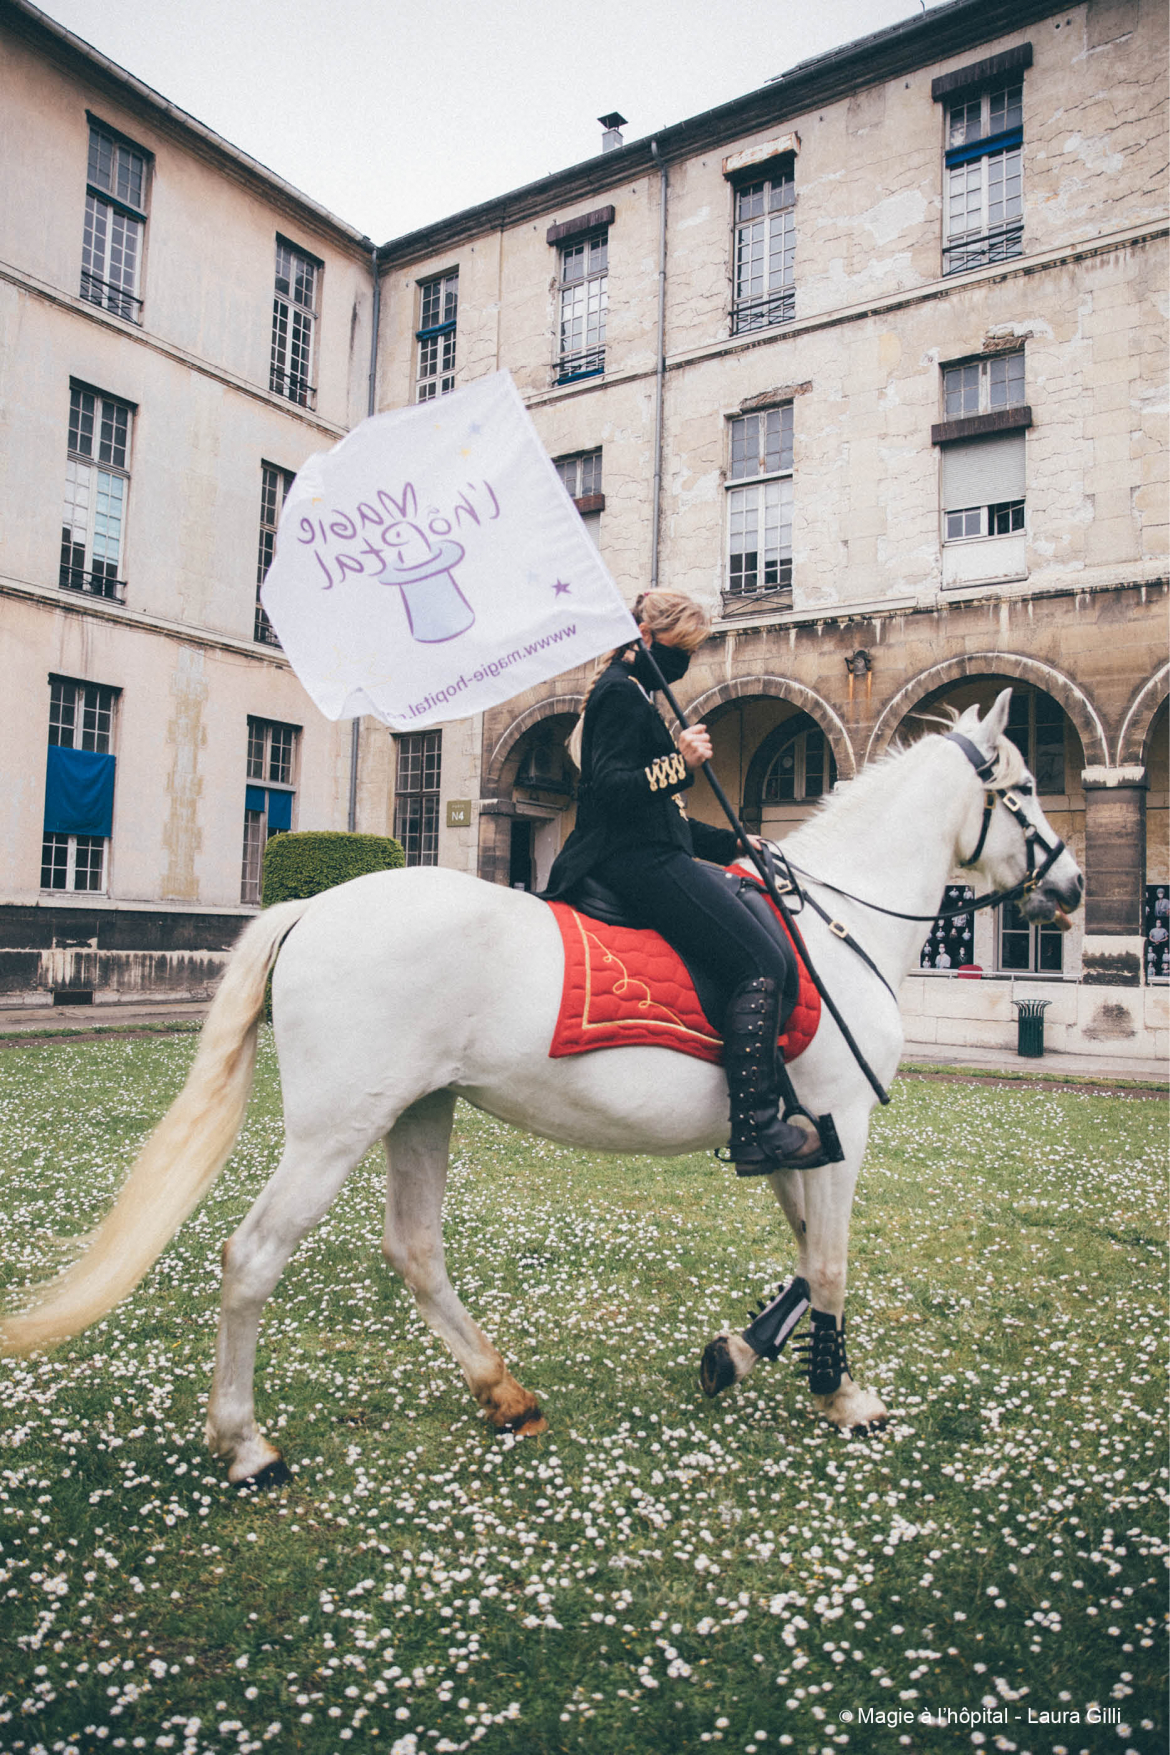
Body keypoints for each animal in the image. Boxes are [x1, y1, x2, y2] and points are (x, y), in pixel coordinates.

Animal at [0, 691, 1087, 1488]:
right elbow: (829, 1263)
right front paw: (841, 1396)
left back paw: (503, 1391)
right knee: (252, 1256)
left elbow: (801, 1252)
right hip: (332, 1129)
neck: (834, 921)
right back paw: (246, 1443)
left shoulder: (799, 1129)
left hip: (416, 1108)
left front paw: (742, 1353)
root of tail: (312, 906)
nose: (1072, 887)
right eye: (1030, 785)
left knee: (414, 1249)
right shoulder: (841, 1123)